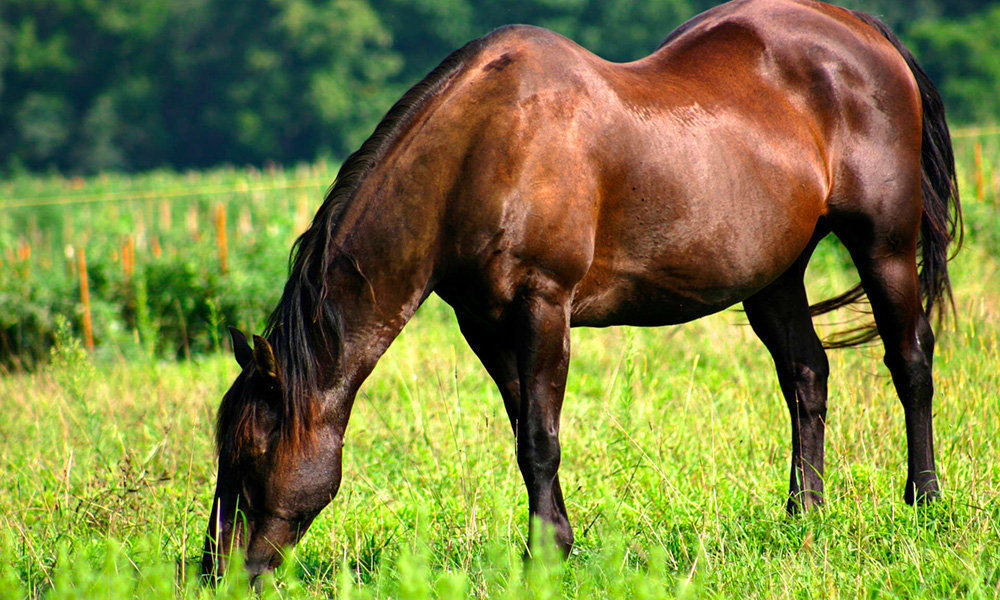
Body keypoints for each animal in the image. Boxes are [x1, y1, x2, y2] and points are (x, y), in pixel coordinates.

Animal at [201, 0, 962, 581]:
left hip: (884, 245)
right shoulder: (486, 323)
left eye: (251, 455)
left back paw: (924, 500)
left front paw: (546, 556)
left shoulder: (543, 307)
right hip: (774, 274)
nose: (216, 569)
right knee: (806, 375)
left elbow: (540, 438)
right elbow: (524, 434)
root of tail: (863, 32)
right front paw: (553, 542)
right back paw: (803, 513)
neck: (483, 147)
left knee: (911, 361)